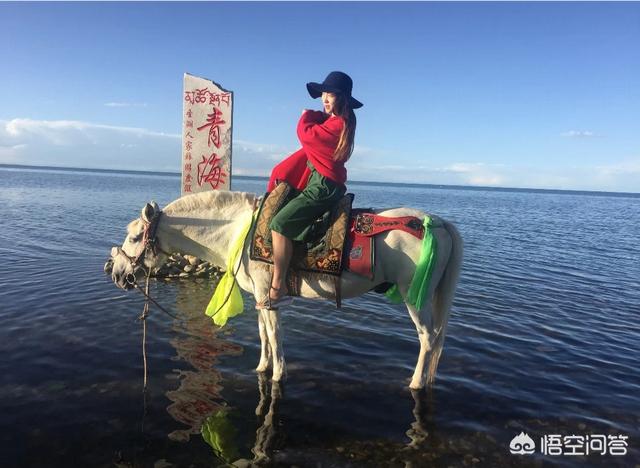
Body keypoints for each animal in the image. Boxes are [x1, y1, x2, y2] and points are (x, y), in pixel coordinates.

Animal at [110, 190, 460, 392]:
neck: (237, 231)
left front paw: (278, 375)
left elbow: (276, 338)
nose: (117, 273)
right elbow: (264, 334)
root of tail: (437, 223)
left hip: (415, 297)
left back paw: (416, 383)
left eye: (135, 236)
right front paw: (262, 368)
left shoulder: (269, 297)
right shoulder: (261, 298)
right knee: (436, 338)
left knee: (428, 338)